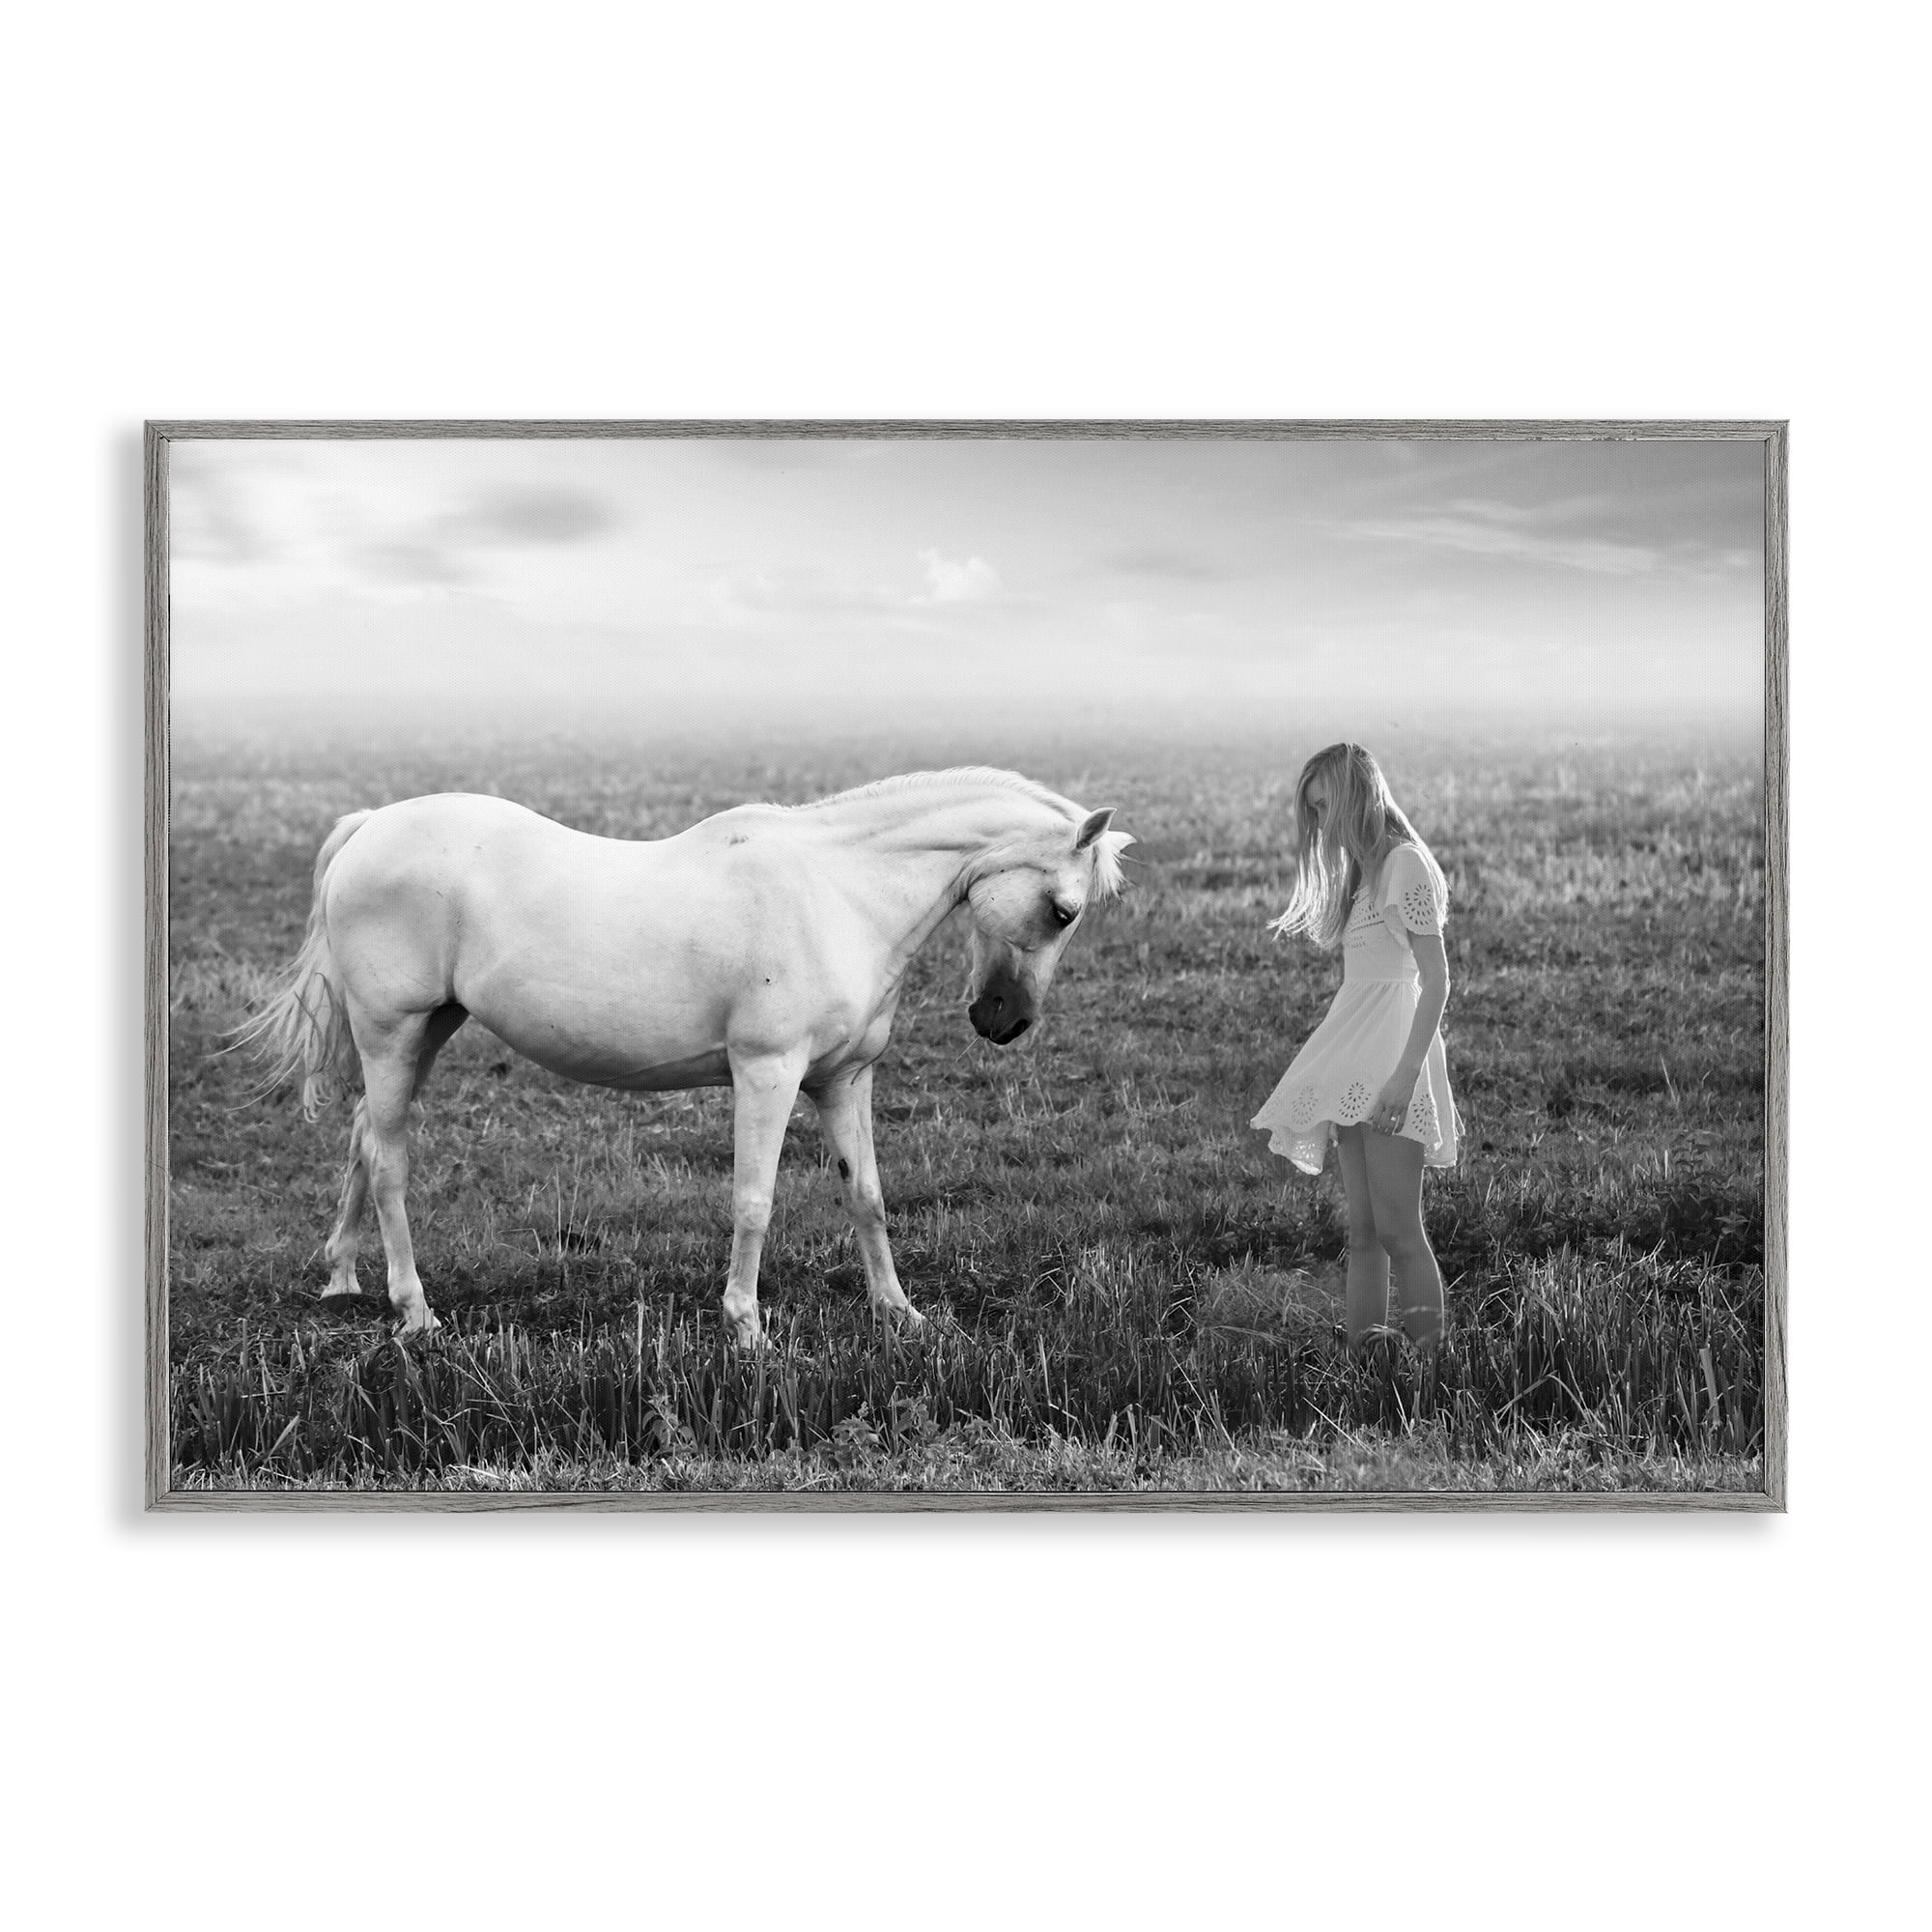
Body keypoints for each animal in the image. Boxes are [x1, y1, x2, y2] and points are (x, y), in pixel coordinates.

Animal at [239, 768, 1133, 1345]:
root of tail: (370, 825)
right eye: (1063, 910)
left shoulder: (843, 1080)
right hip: (391, 1032)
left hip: (428, 1030)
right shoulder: (767, 1073)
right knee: (389, 1160)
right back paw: (415, 1310)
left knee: (364, 1136)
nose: (1004, 1021)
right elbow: (754, 1202)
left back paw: (343, 1278)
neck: (838, 892)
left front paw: (900, 1315)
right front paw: (747, 1329)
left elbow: (868, 1197)